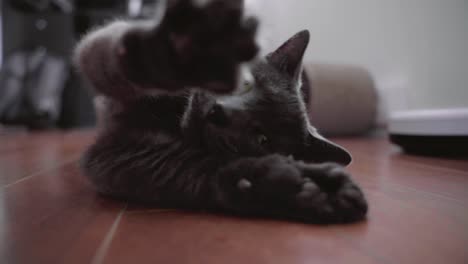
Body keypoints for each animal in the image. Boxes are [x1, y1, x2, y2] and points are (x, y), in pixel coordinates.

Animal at [75, 0, 368, 224]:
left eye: (262, 139)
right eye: (246, 84)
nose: (220, 111)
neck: (172, 116)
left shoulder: (115, 153)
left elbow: (191, 168)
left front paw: (308, 190)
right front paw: (175, 52)